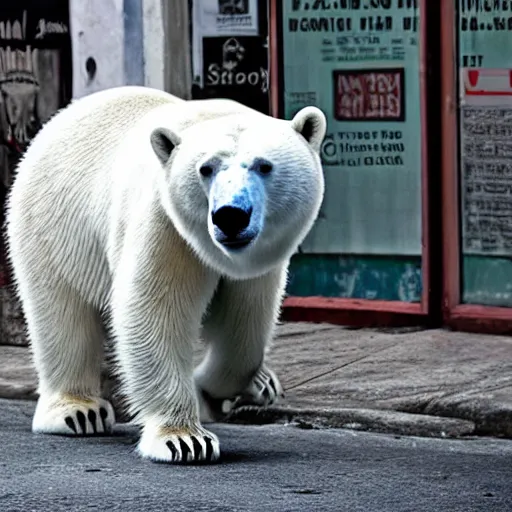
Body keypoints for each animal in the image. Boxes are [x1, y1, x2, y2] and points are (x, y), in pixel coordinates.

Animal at [6, 87, 326, 464]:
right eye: (205, 168)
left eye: (264, 165)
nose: (230, 216)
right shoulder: (165, 222)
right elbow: (155, 312)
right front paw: (185, 439)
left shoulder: (259, 260)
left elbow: (244, 324)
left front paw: (209, 390)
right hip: (55, 227)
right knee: (61, 316)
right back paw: (78, 410)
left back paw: (264, 384)